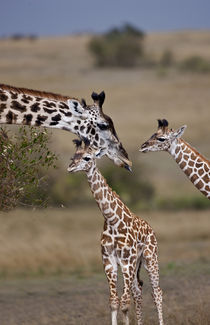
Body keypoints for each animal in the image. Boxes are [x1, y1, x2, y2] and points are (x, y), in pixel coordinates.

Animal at [68, 139, 163, 324]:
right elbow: (114, 301)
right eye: (73, 156)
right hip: (136, 264)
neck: (112, 220)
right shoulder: (108, 260)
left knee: (157, 293)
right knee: (138, 290)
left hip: (149, 258)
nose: (70, 167)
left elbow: (124, 303)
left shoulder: (127, 261)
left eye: (87, 157)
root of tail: (151, 229)